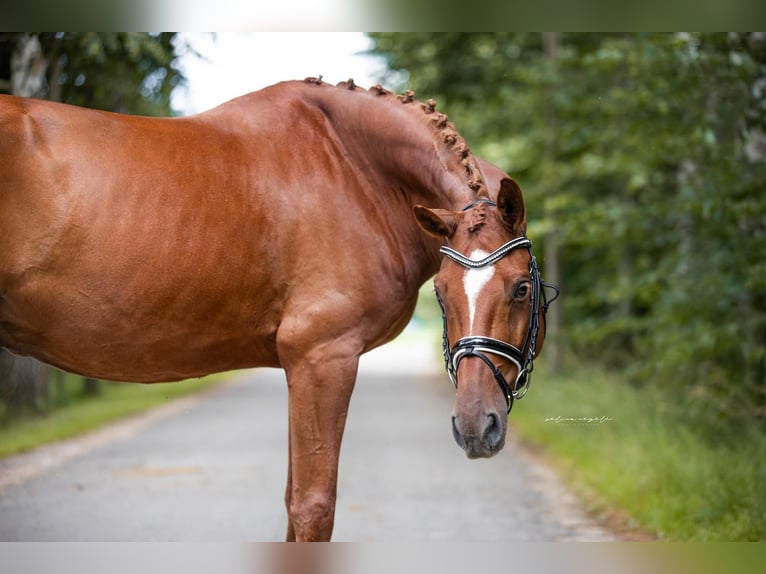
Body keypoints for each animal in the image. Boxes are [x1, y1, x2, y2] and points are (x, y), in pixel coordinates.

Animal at [0, 79, 552, 544]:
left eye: (521, 288)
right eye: (441, 291)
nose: (476, 427)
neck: (355, 167)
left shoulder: (300, 366)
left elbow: (292, 503)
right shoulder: (322, 358)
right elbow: (313, 508)